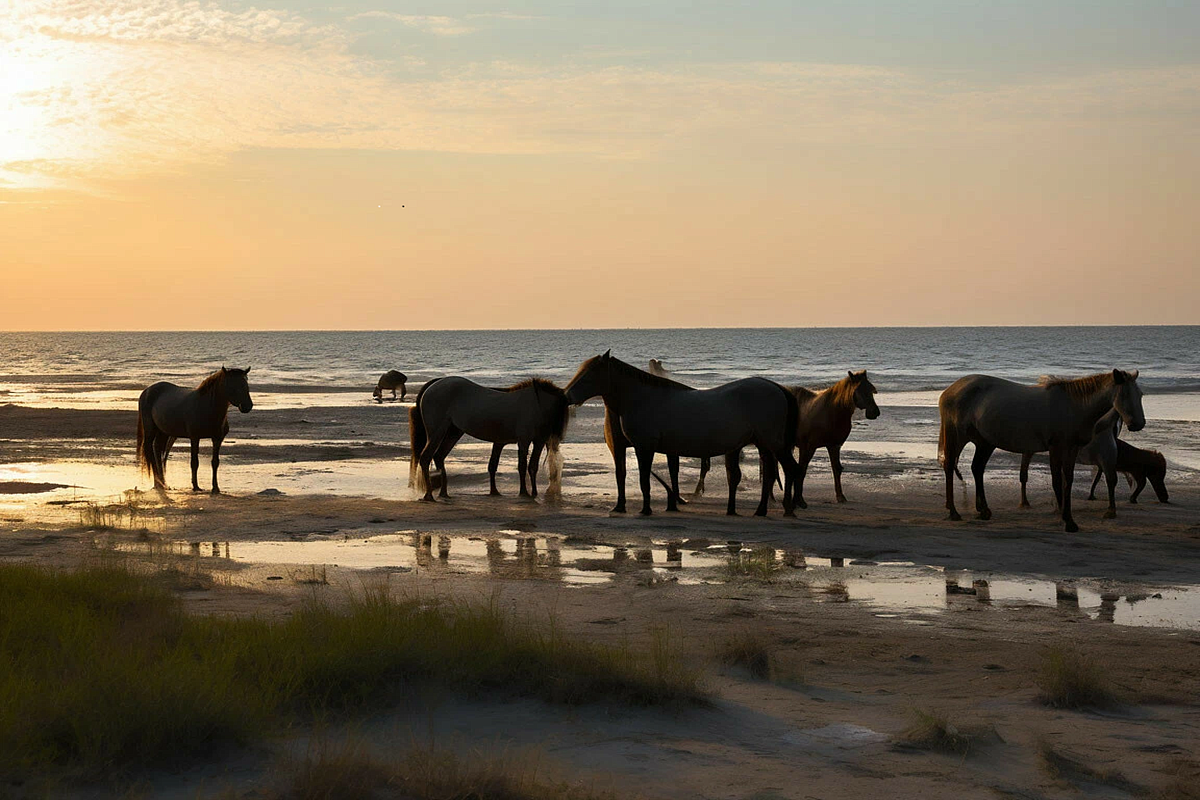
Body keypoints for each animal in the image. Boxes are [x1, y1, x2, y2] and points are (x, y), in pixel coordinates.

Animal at [408, 376, 566, 501]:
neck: (535, 405)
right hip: (436, 432)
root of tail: (432, 386)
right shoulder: (524, 441)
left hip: (454, 432)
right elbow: (522, 466)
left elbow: (532, 466)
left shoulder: (538, 442)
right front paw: (524, 493)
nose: (557, 435)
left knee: (439, 456)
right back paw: (429, 495)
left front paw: (533, 493)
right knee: (426, 458)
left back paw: (444, 493)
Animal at [696, 369, 883, 506]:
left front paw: (840, 496)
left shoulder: (833, 445)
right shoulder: (808, 447)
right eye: (860, 391)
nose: (875, 412)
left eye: (872, 390)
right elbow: (802, 470)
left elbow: (836, 469)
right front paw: (799, 499)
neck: (830, 411)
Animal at [936, 369, 1142, 532]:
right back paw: (954, 511)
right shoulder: (1056, 448)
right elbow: (1057, 481)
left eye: (1139, 394)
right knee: (949, 466)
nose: (1138, 424)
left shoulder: (1072, 449)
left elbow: (1068, 480)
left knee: (977, 468)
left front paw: (1069, 518)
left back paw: (984, 511)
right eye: (1124, 395)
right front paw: (1066, 520)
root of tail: (950, 390)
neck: (1073, 406)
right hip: (957, 436)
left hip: (985, 442)